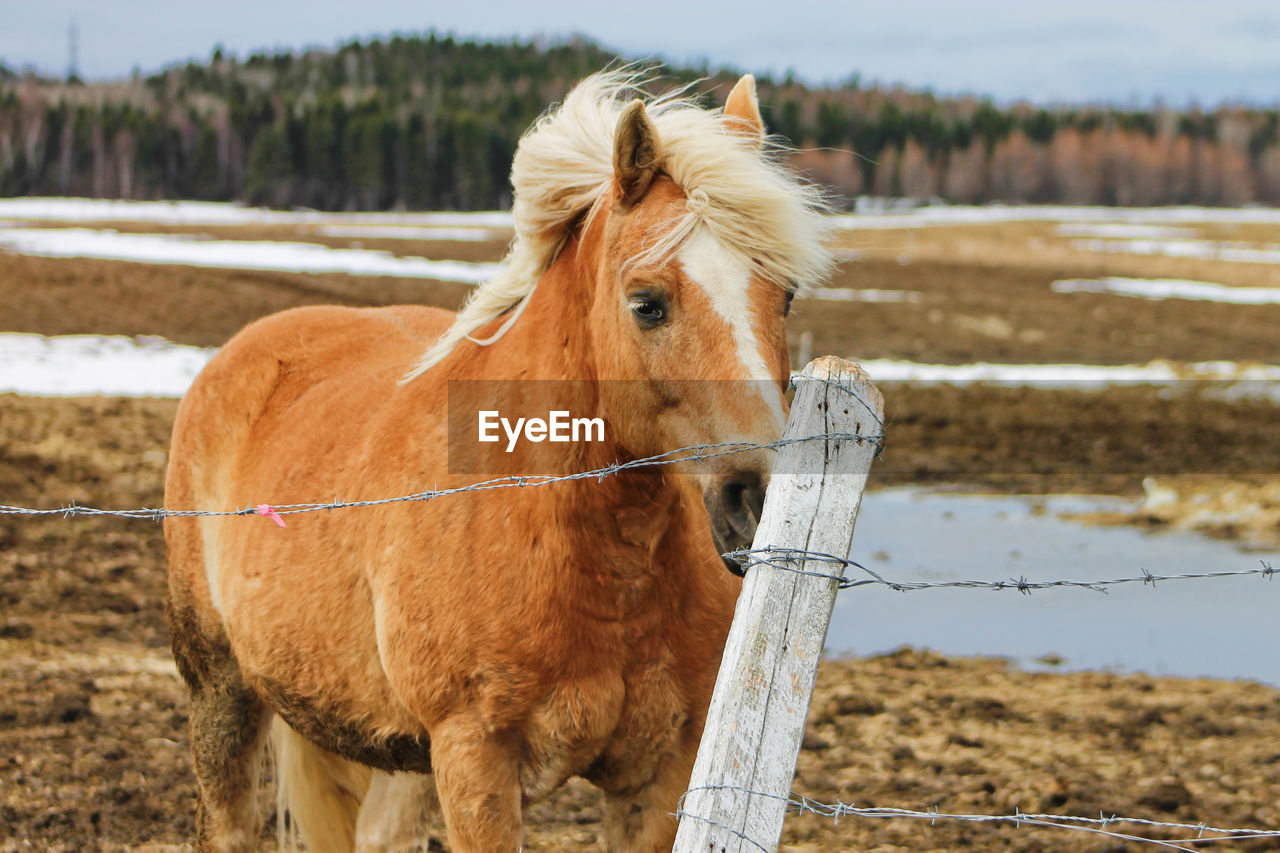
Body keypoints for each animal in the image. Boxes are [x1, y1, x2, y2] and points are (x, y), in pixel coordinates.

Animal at [165, 68, 834, 850]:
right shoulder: (473, 762)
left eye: (783, 295)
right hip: (221, 693)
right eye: (647, 303)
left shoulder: (657, 773)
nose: (758, 500)